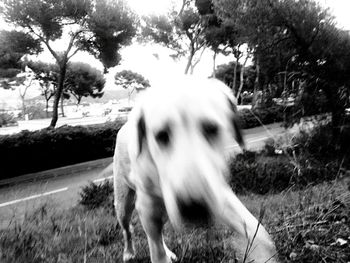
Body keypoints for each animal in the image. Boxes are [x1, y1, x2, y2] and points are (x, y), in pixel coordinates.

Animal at [113, 77, 278, 263]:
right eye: (161, 135)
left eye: (212, 129)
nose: (194, 207)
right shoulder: (147, 207)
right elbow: (156, 250)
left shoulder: (218, 193)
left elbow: (260, 234)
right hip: (123, 203)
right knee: (128, 228)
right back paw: (129, 252)